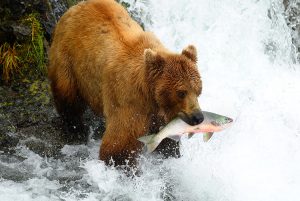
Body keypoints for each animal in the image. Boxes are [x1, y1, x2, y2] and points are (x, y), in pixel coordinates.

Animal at [48, 0, 204, 166]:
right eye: (181, 92)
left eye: (198, 90)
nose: (198, 117)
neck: (149, 92)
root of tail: (76, 6)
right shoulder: (128, 99)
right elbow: (121, 142)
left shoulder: (160, 111)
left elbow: (164, 137)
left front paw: (171, 152)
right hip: (68, 59)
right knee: (67, 96)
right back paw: (76, 129)